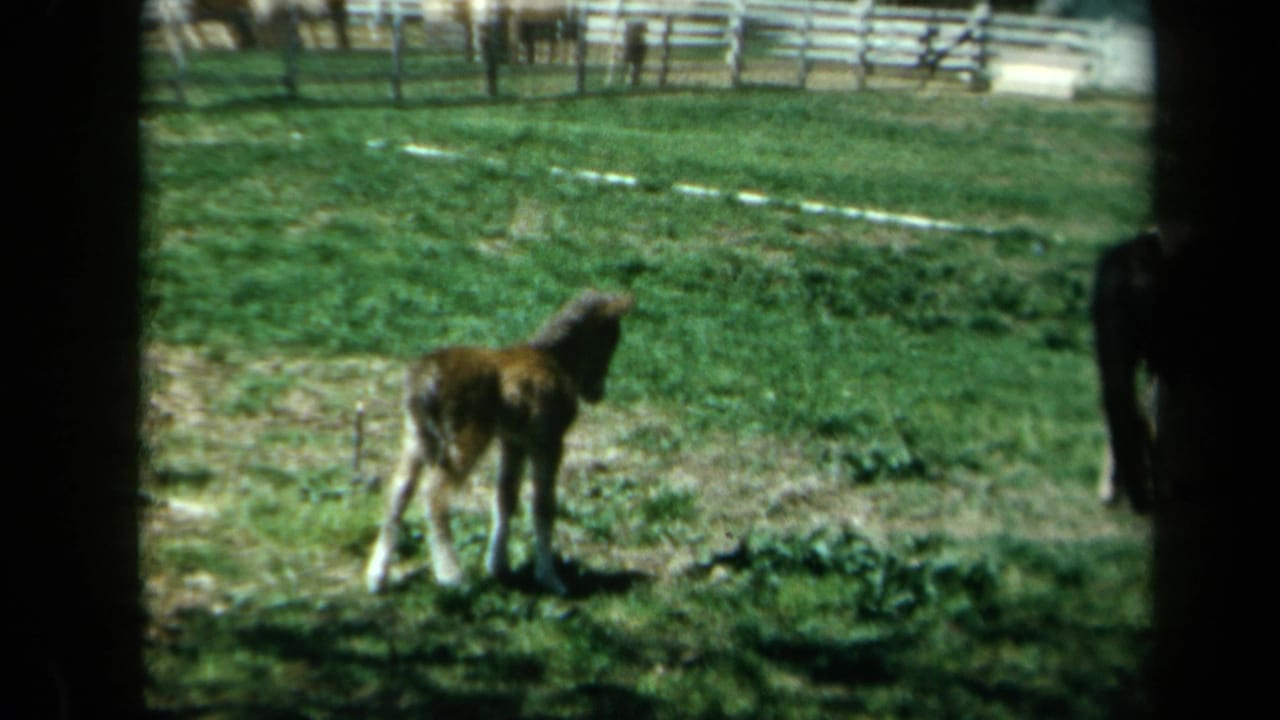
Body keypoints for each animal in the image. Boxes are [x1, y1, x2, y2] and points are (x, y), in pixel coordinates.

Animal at [364, 290, 634, 595]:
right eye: (611, 338)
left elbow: (505, 497)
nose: (596, 393)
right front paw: (551, 579)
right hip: (465, 440)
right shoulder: (548, 441)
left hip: (415, 439)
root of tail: (423, 379)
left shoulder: (513, 440)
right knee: (434, 495)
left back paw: (377, 577)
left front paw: (498, 566)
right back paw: (452, 575)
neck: (554, 359)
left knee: (398, 493)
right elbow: (543, 504)